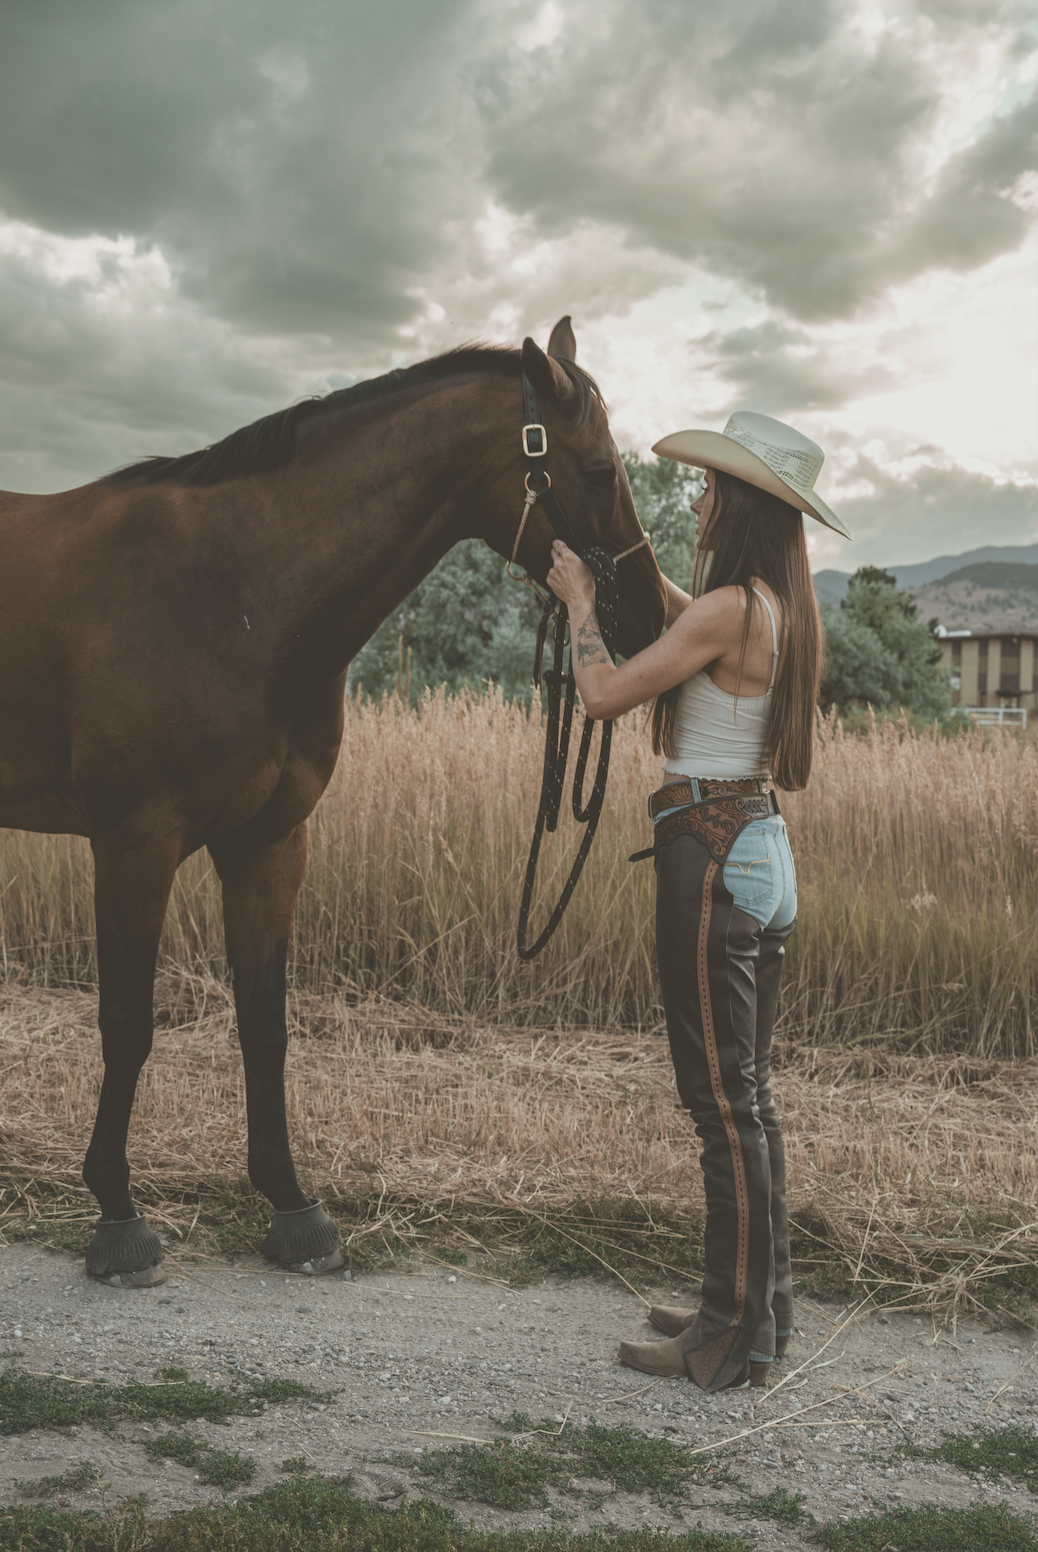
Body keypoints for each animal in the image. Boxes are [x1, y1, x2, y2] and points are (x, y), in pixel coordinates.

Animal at [0, 315, 666, 1285]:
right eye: (599, 469)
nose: (655, 617)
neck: (234, 594)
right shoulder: (134, 841)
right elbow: (127, 1024)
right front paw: (119, 1221)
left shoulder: (271, 841)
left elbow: (265, 1021)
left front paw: (292, 1205)